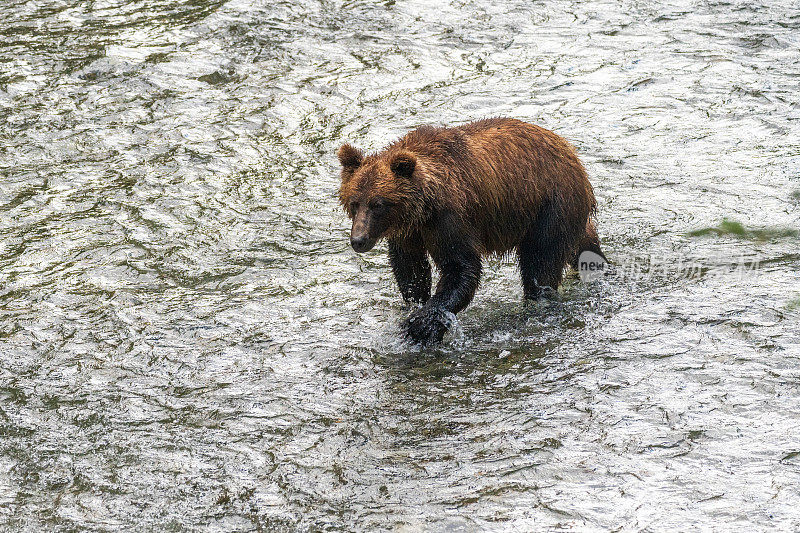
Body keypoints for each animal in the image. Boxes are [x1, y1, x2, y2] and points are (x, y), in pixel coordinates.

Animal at [334, 116, 604, 344]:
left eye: (378, 204)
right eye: (354, 202)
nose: (358, 240)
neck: (423, 209)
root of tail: (570, 152)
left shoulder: (450, 219)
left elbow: (461, 267)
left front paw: (421, 324)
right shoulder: (407, 232)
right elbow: (411, 269)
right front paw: (414, 304)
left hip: (549, 204)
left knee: (541, 261)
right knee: (580, 242)